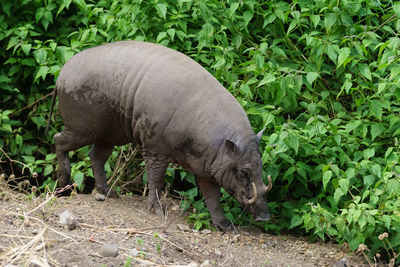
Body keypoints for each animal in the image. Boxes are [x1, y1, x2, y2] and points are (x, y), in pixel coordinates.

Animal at [47, 41, 272, 230]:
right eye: (244, 171)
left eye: (261, 165)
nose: (265, 217)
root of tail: (61, 75)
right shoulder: (155, 149)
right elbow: (156, 180)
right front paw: (157, 210)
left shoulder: (205, 168)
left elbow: (212, 197)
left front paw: (224, 226)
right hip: (83, 128)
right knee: (59, 140)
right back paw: (63, 183)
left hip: (108, 135)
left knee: (96, 157)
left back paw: (110, 193)